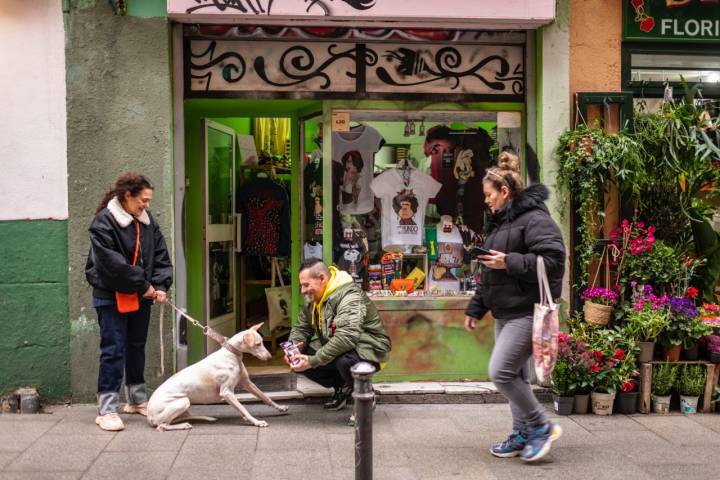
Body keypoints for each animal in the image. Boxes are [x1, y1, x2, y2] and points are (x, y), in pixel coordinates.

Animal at [148, 322, 288, 432]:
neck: (231, 354)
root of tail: (149, 417)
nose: (270, 357)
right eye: (258, 344)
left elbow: (265, 397)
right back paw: (183, 425)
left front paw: (280, 407)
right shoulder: (226, 392)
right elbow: (244, 409)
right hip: (183, 401)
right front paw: (257, 422)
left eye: (262, 342)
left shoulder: (247, 383)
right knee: (161, 426)